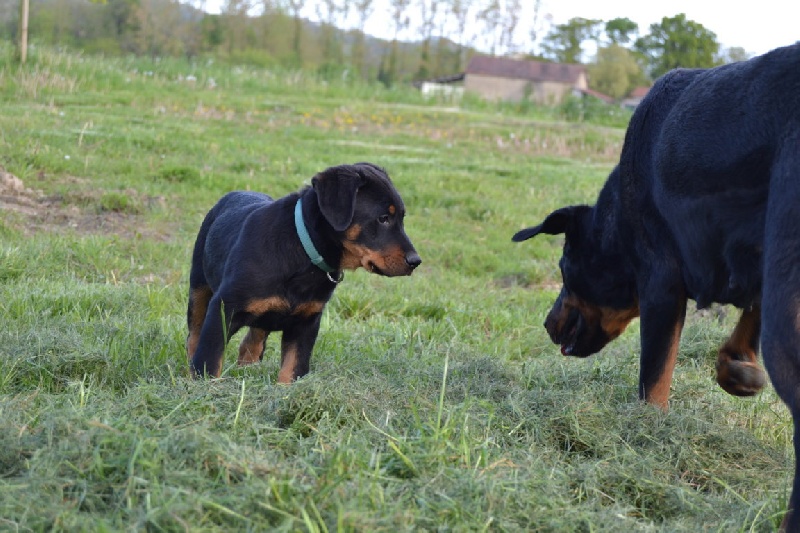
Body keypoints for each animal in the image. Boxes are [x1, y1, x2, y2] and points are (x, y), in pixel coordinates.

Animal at [186, 162, 421, 383]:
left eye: (401, 218)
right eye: (383, 218)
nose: (415, 261)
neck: (304, 254)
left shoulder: (307, 322)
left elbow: (293, 368)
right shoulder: (224, 308)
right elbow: (209, 359)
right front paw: (205, 387)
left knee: (253, 339)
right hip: (199, 286)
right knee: (195, 333)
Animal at [512, 43, 800, 529]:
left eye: (564, 266)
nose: (548, 323)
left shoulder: (661, 278)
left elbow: (655, 376)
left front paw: (648, 435)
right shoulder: (757, 255)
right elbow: (746, 319)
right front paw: (737, 367)